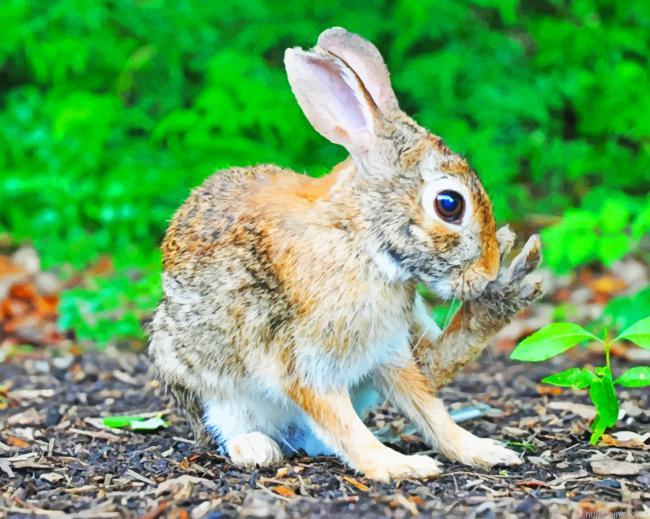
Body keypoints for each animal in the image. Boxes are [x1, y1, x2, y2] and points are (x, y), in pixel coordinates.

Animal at [148, 27, 543, 482]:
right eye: (449, 204)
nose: (487, 271)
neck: (361, 240)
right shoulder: (305, 363)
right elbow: (345, 426)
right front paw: (398, 466)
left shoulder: (388, 351)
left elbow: (429, 410)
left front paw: (482, 452)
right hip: (209, 385)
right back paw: (257, 448)